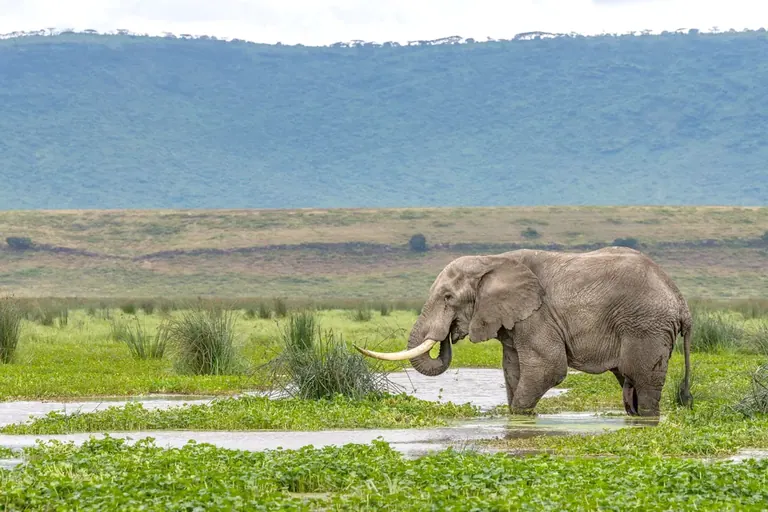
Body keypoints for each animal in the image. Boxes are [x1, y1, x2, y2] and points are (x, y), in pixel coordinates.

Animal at [357, 247, 692, 417]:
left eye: (448, 298)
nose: (450, 333)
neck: (492, 260)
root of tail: (680, 300)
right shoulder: (514, 319)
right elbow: (512, 369)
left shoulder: (537, 314)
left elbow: (548, 368)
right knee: (628, 382)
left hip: (646, 326)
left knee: (643, 380)